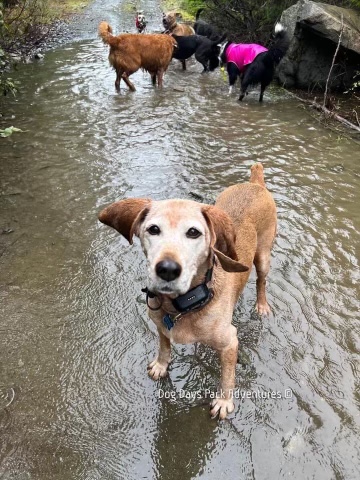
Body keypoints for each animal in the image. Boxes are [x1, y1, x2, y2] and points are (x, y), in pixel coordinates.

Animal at [100, 163, 278, 418]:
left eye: (193, 232)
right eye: (153, 229)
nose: (167, 269)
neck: (182, 305)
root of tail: (255, 182)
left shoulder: (230, 343)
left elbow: (227, 376)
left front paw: (224, 401)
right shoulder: (161, 326)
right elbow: (164, 346)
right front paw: (161, 364)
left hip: (263, 257)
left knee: (261, 282)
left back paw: (261, 305)